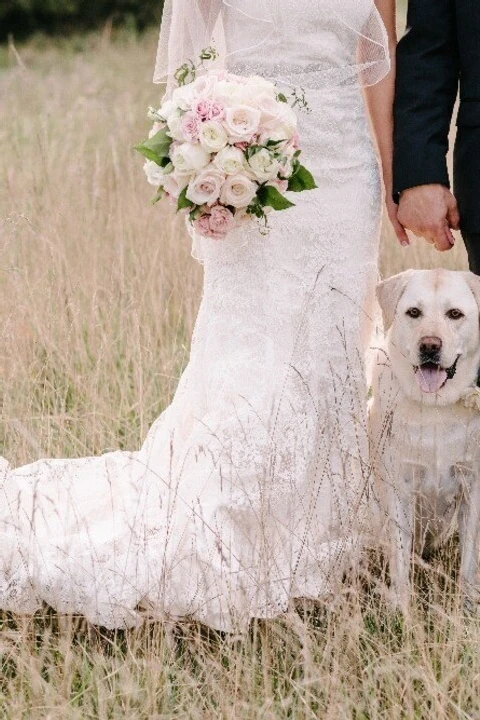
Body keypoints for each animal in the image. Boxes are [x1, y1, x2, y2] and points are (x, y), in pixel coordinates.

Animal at [370, 268, 480, 612]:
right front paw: (401, 613)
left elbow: (469, 562)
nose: (430, 346)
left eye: (455, 314)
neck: (435, 407)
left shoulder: (473, 488)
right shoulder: (400, 490)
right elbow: (400, 562)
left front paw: (466, 608)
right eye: (413, 313)